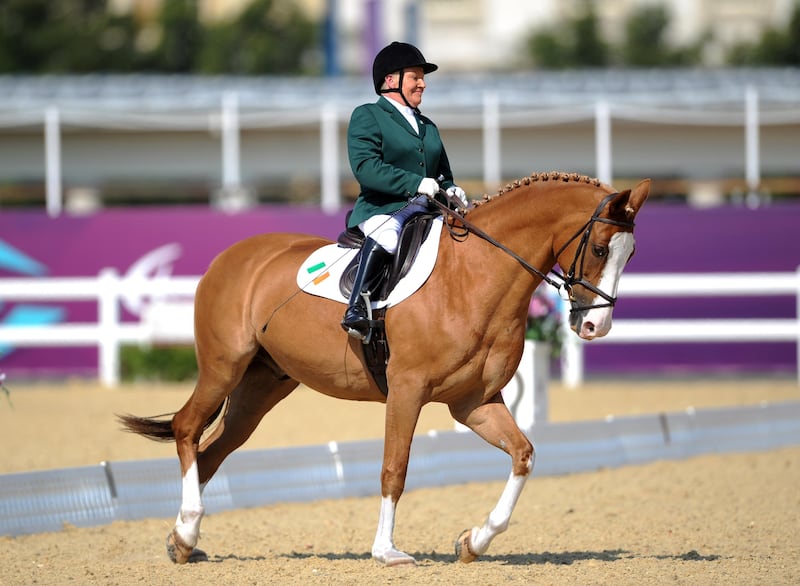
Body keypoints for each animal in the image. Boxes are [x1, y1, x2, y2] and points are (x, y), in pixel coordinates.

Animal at [119, 171, 648, 564]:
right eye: (600, 249)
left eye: (631, 254)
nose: (595, 325)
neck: (474, 276)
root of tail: (229, 258)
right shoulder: (407, 391)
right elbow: (395, 469)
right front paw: (386, 552)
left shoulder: (473, 403)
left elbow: (524, 454)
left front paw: (472, 542)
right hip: (223, 367)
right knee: (188, 429)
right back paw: (187, 533)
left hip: (262, 387)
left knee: (211, 452)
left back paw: (183, 539)